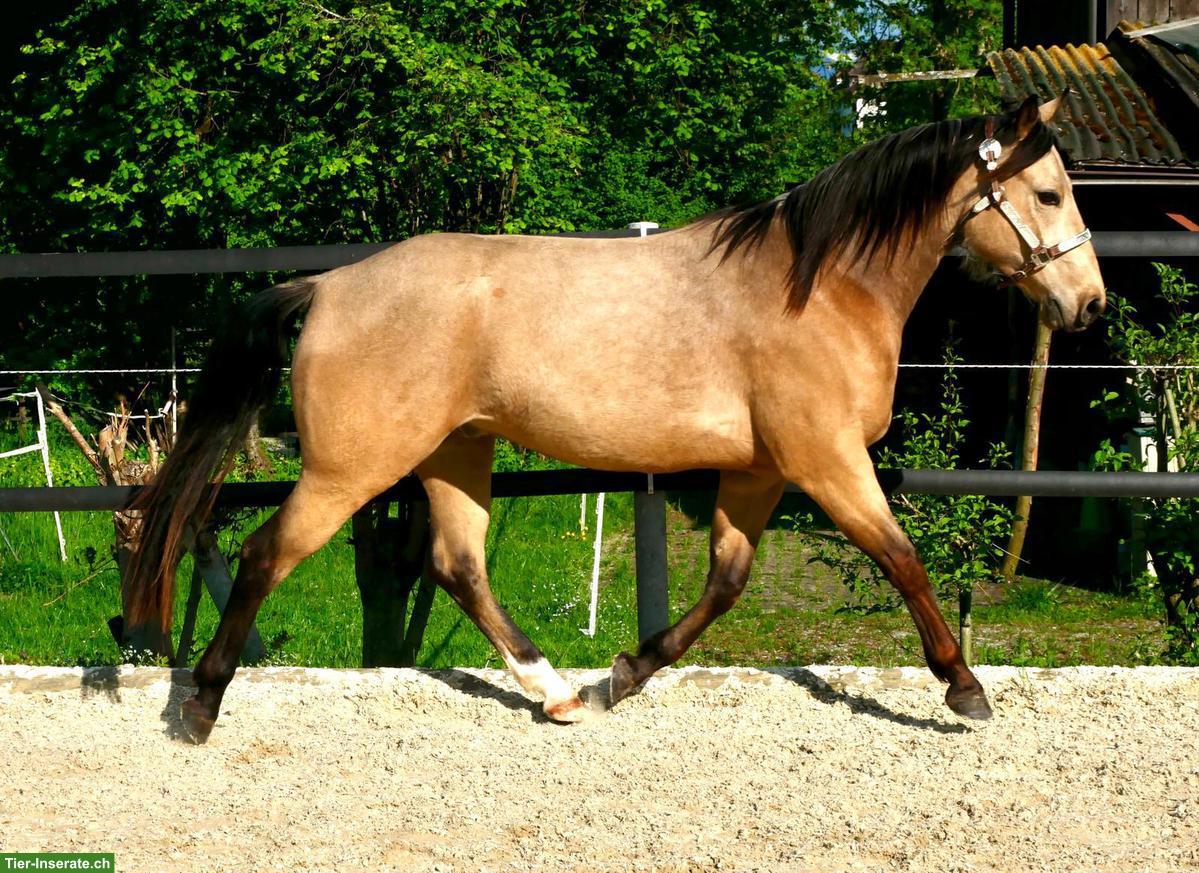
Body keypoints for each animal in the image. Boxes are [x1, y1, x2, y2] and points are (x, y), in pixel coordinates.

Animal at [127, 94, 1104, 743]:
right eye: (1049, 194)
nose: (1088, 303)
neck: (820, 287)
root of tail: (328, 285)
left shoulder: (760, 470)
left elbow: (726, 581)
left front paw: (625, 675)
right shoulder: (825, 462)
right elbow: (902, 561)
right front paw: (964, 689)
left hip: (456, 452)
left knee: (458, 564)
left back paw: (558, 691)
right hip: (351, 465)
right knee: (266, 554)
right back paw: (200, 706)